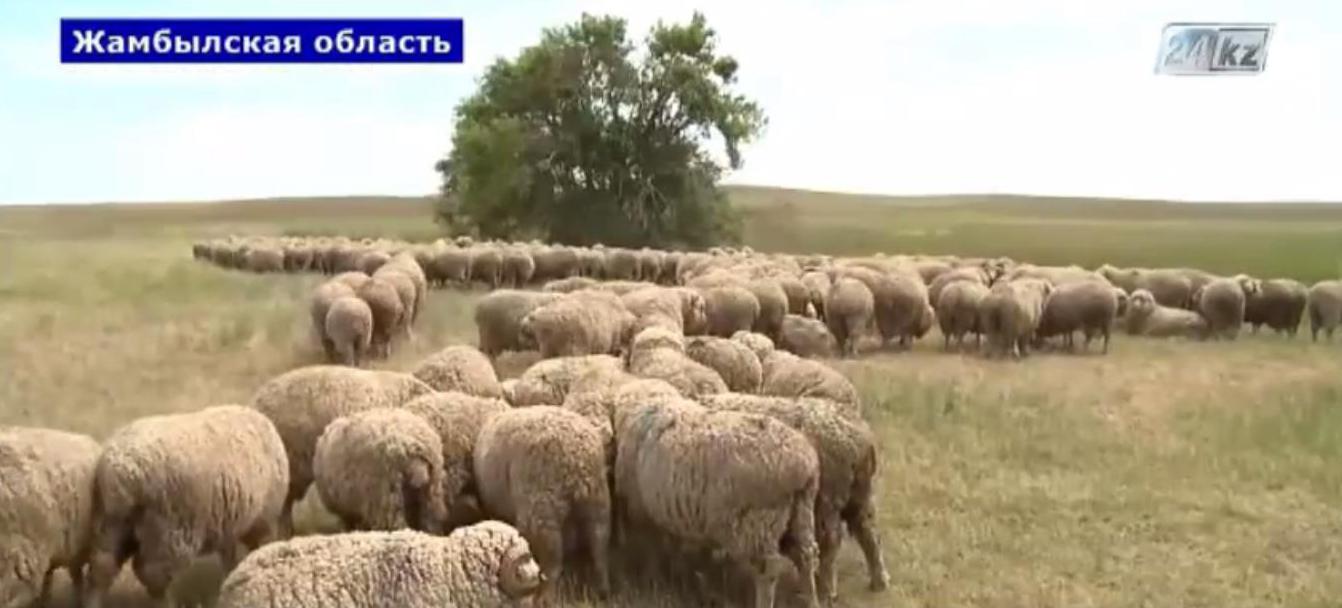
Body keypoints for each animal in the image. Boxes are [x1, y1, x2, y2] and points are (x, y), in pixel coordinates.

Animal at [87, 405, 289, 608]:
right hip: (170, 528)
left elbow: (229, 556)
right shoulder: (263, 521)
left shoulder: (229, 525)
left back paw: (92, 602)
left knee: (102, 568)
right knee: (152, 574)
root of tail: (120, 470)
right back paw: (167, 603)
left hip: (111, 523)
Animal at [474, 407, 612, 602]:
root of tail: (576, 460)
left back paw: (545, 598)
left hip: (541, 511)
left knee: (552, 564)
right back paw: (602, 591)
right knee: (599, 550)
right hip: (598, 504)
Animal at [613, 397, 821, 608]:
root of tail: (804, 465)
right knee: (807, 555)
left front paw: (652, 583)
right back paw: (812, 601)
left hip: (756, 522)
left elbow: (652, 551)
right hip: (801, 511)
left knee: (768, 568)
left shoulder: (641, 511)